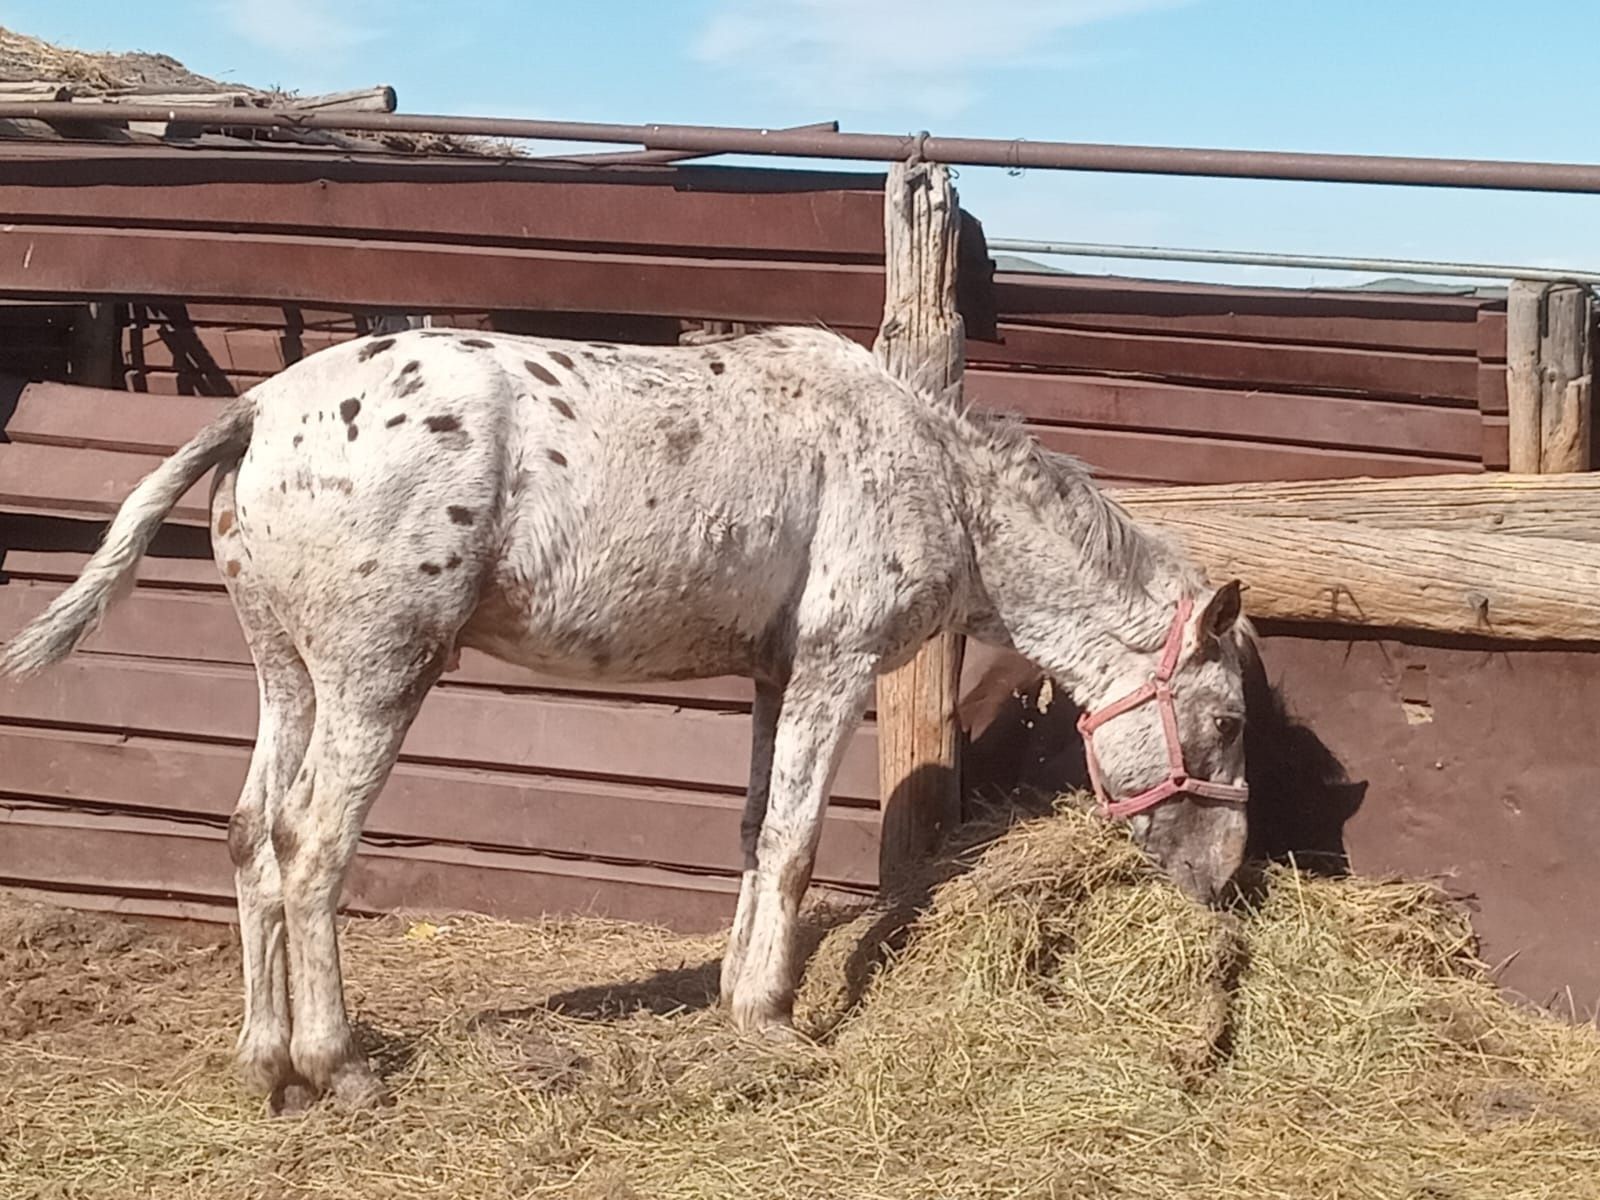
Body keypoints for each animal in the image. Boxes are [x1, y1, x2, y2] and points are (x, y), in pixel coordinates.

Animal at [0, 324, 1248, 1113]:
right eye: (1230, 723)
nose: (1223, 875)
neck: (932, 472)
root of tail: (258, 411)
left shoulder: (773, 676)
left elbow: (754, 836)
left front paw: (740, 998)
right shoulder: (834, 665)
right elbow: (794, 845)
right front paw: (773, 1022)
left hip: (288, 674)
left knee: (251, 835)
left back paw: (270, 1069)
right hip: (372, 676)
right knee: (311, 847)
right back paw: (340, 1066)